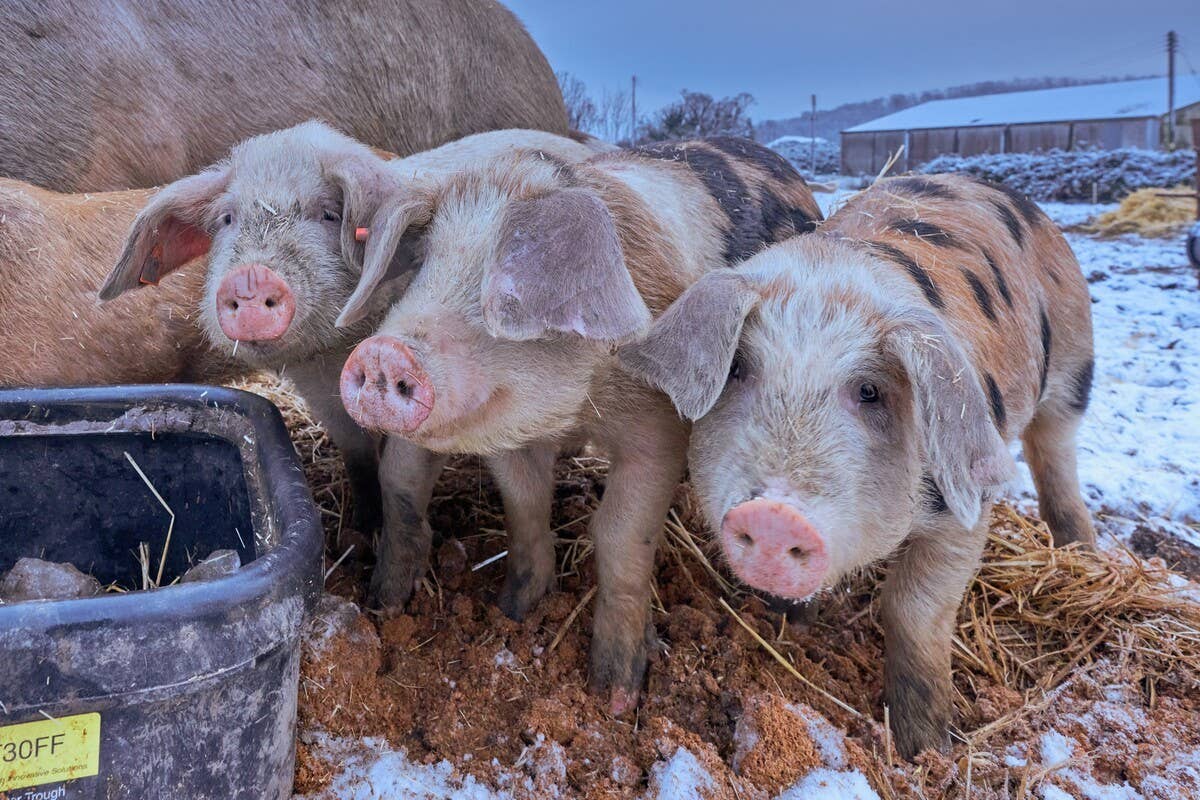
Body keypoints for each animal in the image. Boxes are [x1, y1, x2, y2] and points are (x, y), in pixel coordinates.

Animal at [97, 122, 606, 605]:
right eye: (226, 218)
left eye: (328, 213)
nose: (250, 277)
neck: (336, 351)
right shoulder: (321, 392)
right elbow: (357, 454)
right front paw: (362, 525)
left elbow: (398, 470)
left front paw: (386, 596)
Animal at [335, 137, 823, 711]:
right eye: (422, 266)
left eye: (506, 289)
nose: (382, 352)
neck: (580, 410)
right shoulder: (511, 435)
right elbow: (524, 508)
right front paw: (514, 612)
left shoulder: (659, 432)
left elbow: (620, 537)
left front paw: (615, 694)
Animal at [619, 173, 1095, 757]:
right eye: (737, 370)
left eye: (869, 391)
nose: (775, 515)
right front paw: (794, 626)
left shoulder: (965, 503)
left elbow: (914, 610)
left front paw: (926, 749)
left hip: (1073, 365)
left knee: (1056, 454)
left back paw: (1082, 554)